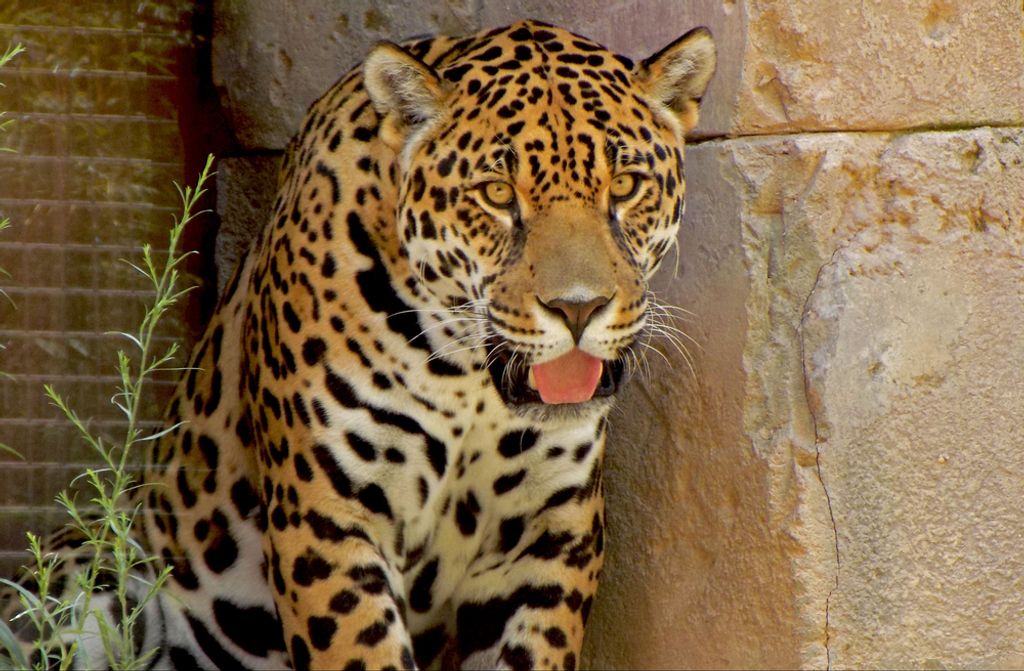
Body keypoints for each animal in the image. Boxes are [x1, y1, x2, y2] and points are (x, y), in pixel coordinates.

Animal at [3, 19, 715, 670]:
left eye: (625, 186)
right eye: (495, 194)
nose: (578, 308)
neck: (470, 382)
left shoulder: (549, 538)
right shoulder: (329, 519)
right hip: (84, 580)